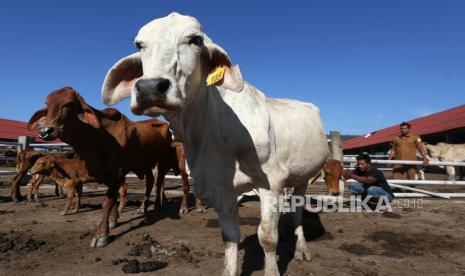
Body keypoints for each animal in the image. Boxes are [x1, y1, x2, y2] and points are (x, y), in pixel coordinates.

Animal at [26, 87, 193, 247]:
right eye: (47, 106)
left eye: (70, 104)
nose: (45, 131)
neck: (97, 137)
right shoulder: (106, 174)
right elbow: (113, 199)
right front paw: (113, 221)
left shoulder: (117, 171)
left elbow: (108, 200)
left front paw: (101, 235)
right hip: (145, 164)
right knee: (151, 182)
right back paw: (143, 208)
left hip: (162, 162)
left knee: (159, 183)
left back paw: (161, 206)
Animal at [101, 11, 328, 274]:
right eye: (139, 45)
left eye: (195, 40)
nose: (149, 87)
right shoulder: (221, 190)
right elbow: (230, 236)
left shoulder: (271, 182)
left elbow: (267, 237)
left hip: (304, 177)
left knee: (298, 212)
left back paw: (302, 248)